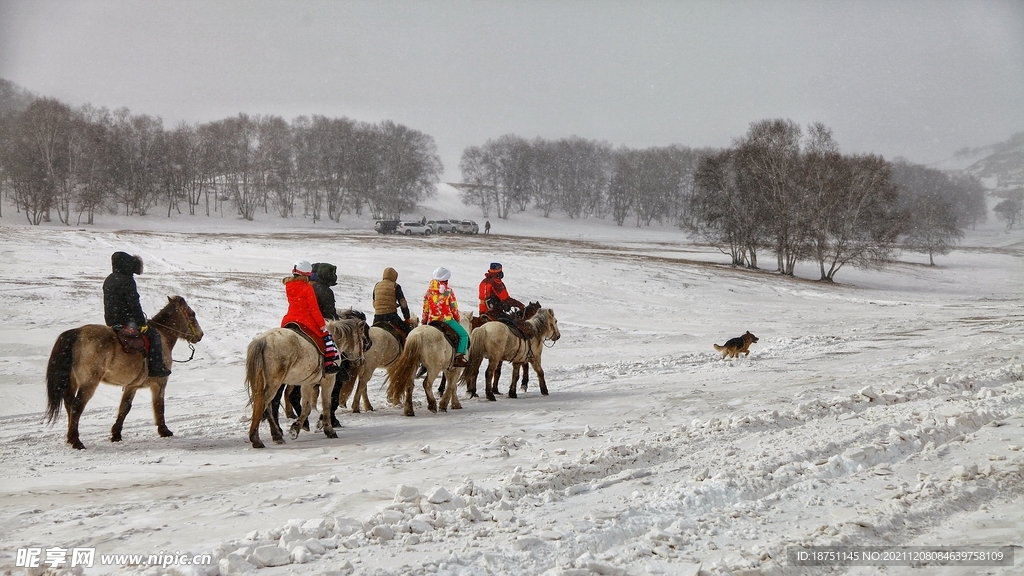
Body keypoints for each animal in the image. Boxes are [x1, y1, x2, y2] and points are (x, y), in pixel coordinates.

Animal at [44, 295, 203, 448]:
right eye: (192, 314)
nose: (200, 335)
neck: (163, 336)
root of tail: (77, 333)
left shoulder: (132, 386)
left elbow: (124, 407)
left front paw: (116, 434)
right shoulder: (159, 384)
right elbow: (159, 405)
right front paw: (164, 431)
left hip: (72, 381)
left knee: (69, 404)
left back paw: (71, 437)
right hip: (89, 383)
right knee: (77, 406)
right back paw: (76, 441)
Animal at [243, 315, 364, 446]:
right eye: (363, 338)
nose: (361, 360)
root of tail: (263, 340)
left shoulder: (308, 383)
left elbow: (306, 408)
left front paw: (295, 429)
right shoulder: (329, 381)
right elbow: (326, 405)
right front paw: (329, 430)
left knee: (266, 406)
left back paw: (276, 435)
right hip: (275, 383)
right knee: (263, 405)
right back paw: (257, 439)